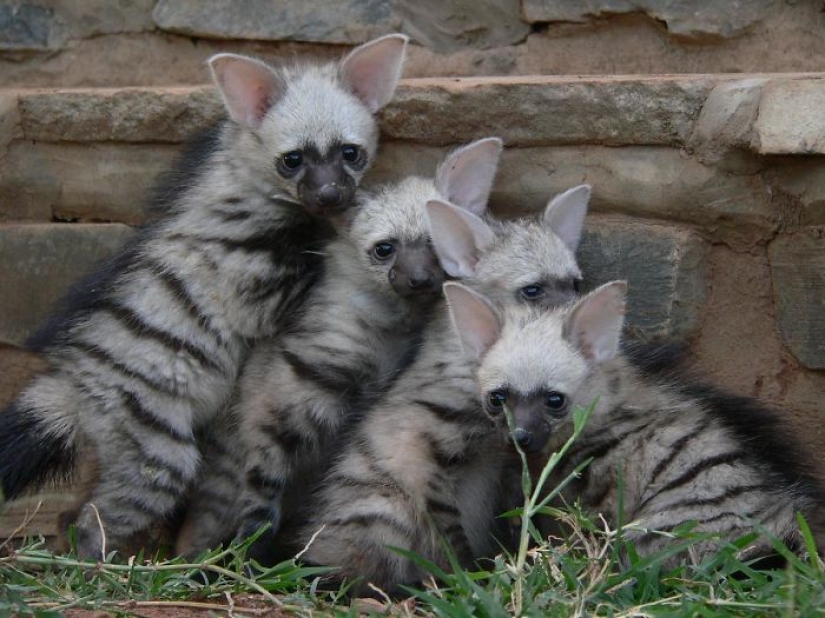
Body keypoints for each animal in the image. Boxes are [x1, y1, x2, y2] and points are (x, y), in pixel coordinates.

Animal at [0, 34, 408, 559]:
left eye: (350, 152)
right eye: (292, 159)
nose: (332, 196)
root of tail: (73, 386)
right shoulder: (255, 284)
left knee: (77, 513)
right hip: (157, 450)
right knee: (100, 518)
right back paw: (107, 565)